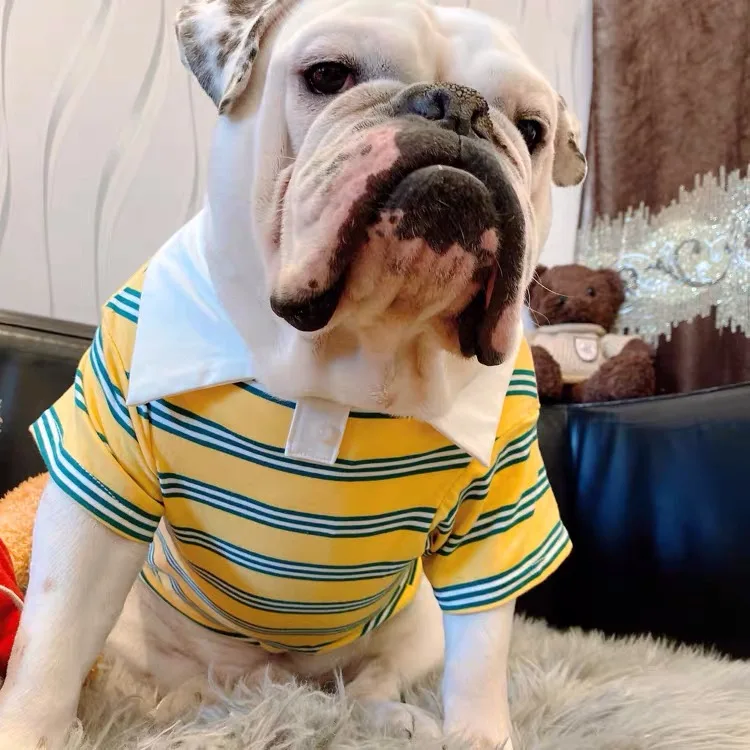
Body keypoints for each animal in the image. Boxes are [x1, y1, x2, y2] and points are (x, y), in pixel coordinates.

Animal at [0, 1, 586, 747]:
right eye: (328, 75)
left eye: (532, 130)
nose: (455, 105)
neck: (351, 355)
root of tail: (274, 685)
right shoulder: (99, 484)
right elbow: (52, 640)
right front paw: (28, 728)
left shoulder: (497, 512)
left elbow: (480, 662)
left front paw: (478, 736)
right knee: (153, 682)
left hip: (415, 624)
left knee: (370, 683)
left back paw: (393, 716)